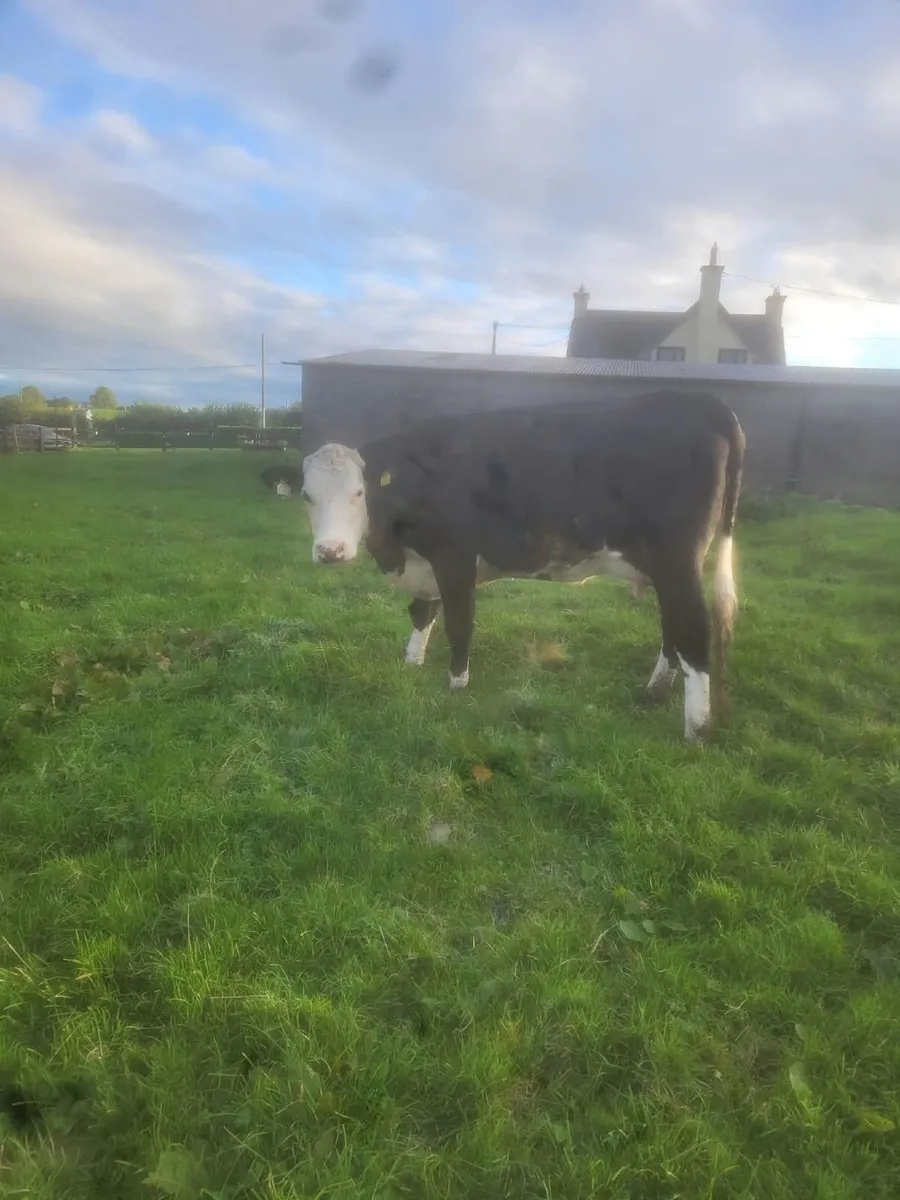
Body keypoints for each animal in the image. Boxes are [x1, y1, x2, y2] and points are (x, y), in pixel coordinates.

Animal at [299, 390, 745, 743]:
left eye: (360, 493)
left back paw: (696, 729)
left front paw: (456, 684)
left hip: (677, 560)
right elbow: (422, 612)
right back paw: (655, 690)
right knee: (672, 629)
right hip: (662, 569)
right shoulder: (428, 564)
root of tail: (702, 400)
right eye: (307, 496)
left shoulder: (455, 557)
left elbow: (459, 622)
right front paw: (412, 662)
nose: (331, 551)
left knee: (692, 630)